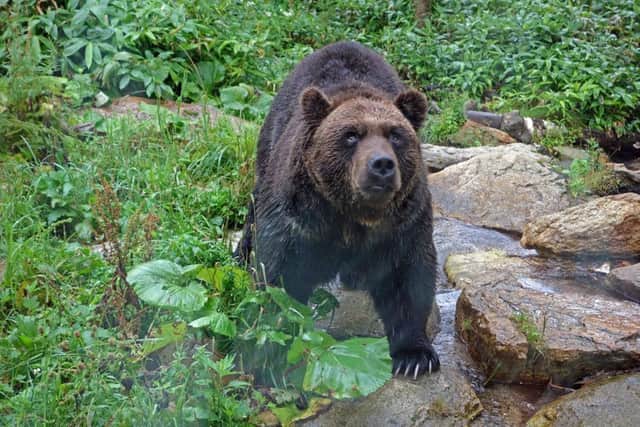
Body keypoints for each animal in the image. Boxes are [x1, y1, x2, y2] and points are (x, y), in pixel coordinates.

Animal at [236, 41, 440, 378]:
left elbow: (407, 278)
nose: (382, 165)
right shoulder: (301, 218)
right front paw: (274, 347)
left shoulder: (403, 222)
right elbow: (279, 277)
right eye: (351, 134)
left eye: (395, 134)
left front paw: (414, 356)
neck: (352, 213)